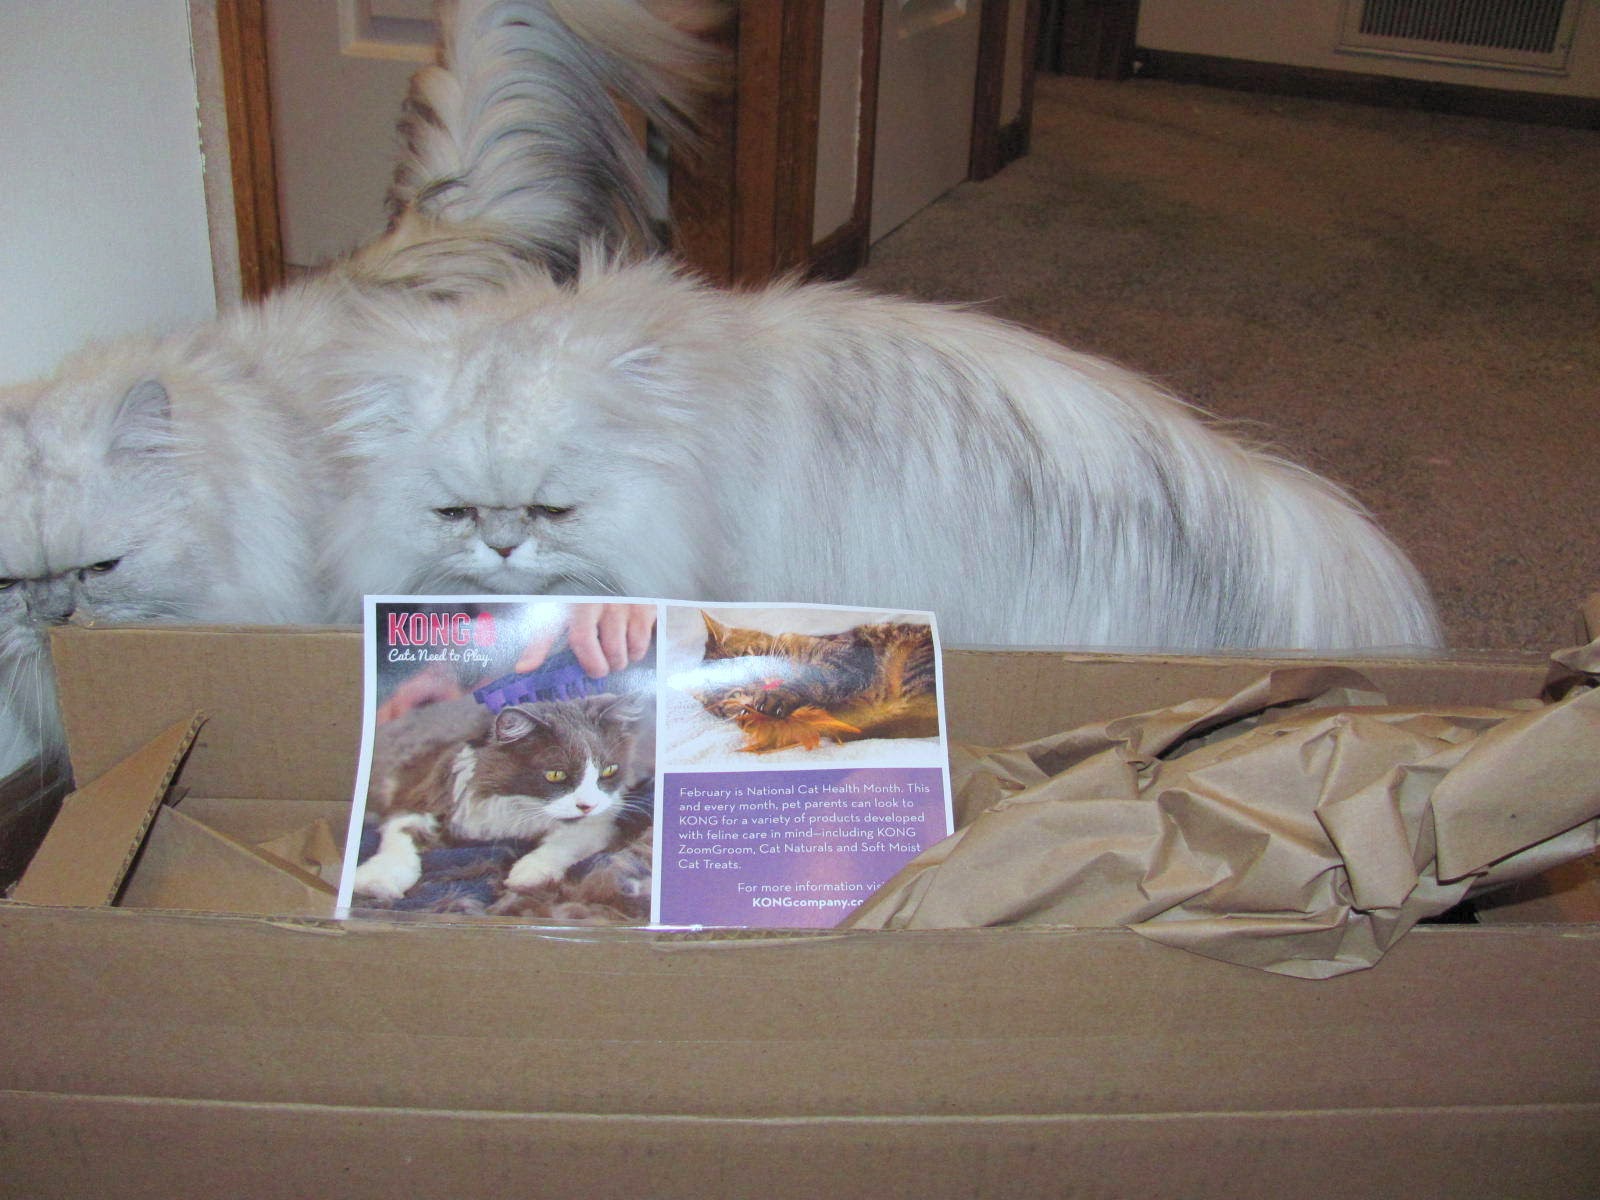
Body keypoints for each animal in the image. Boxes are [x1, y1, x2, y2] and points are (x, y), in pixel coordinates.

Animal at [353, 693, 647, 902]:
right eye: (555, 775)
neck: (517, 807)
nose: (587, 805)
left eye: (609, 771)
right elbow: (399, 839)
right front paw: (376, 882)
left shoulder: (602, 819)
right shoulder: (419, 796)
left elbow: (566, 841)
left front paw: (530, 872)